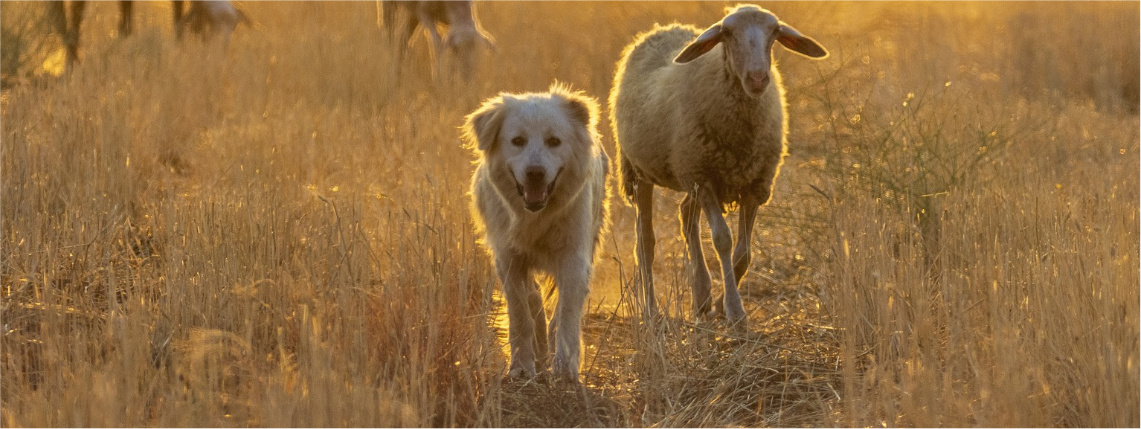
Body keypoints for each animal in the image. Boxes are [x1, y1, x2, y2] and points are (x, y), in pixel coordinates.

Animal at [460, 83, 611, 381]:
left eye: (554, 141)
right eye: (518, 141)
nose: (535, 173)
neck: (536, 216)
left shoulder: (574, 257)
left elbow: (566, 314)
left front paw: (565, 367)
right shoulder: (509, 258)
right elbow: (521, 314)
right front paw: (521, 366)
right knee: (534, 299)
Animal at [611, 4, 826, 324]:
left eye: (775, 31)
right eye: (727, 33)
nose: (758, 78)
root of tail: (663, 28)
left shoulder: (754, 184)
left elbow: (744, 252)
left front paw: (722, 302)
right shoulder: (705, 179)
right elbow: (723, 240)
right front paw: (735, 311)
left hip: (688, 172)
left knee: (686, 215)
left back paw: (701, 297)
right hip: (642, 172)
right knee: (645, 241)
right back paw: (651, 309)